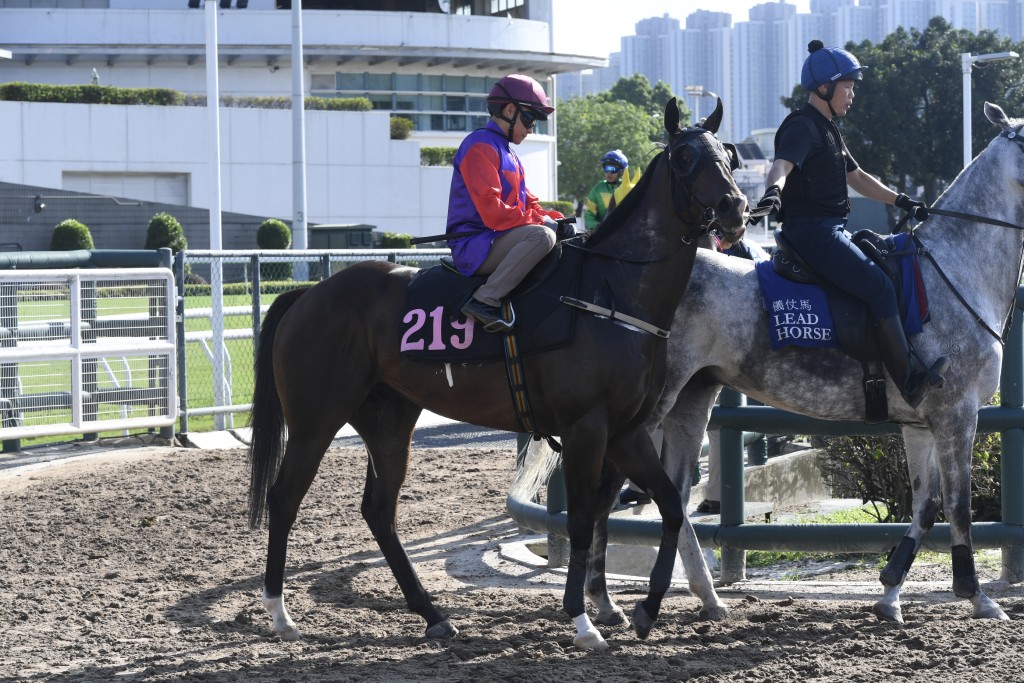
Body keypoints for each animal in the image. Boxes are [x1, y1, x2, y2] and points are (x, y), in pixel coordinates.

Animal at [245, 97, 745, 651]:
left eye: (727, 154)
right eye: (683, 157)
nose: (734, 207)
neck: (611, 293)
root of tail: (308, 294)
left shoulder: (626, 431)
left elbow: (671, 508)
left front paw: (646, 609)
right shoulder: (586, 429)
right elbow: (582, 521)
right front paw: (583, 620)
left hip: (389, 420)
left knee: (379, 511)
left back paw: (432, 614)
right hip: (315, 420)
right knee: (284, 498)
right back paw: (279, 613)